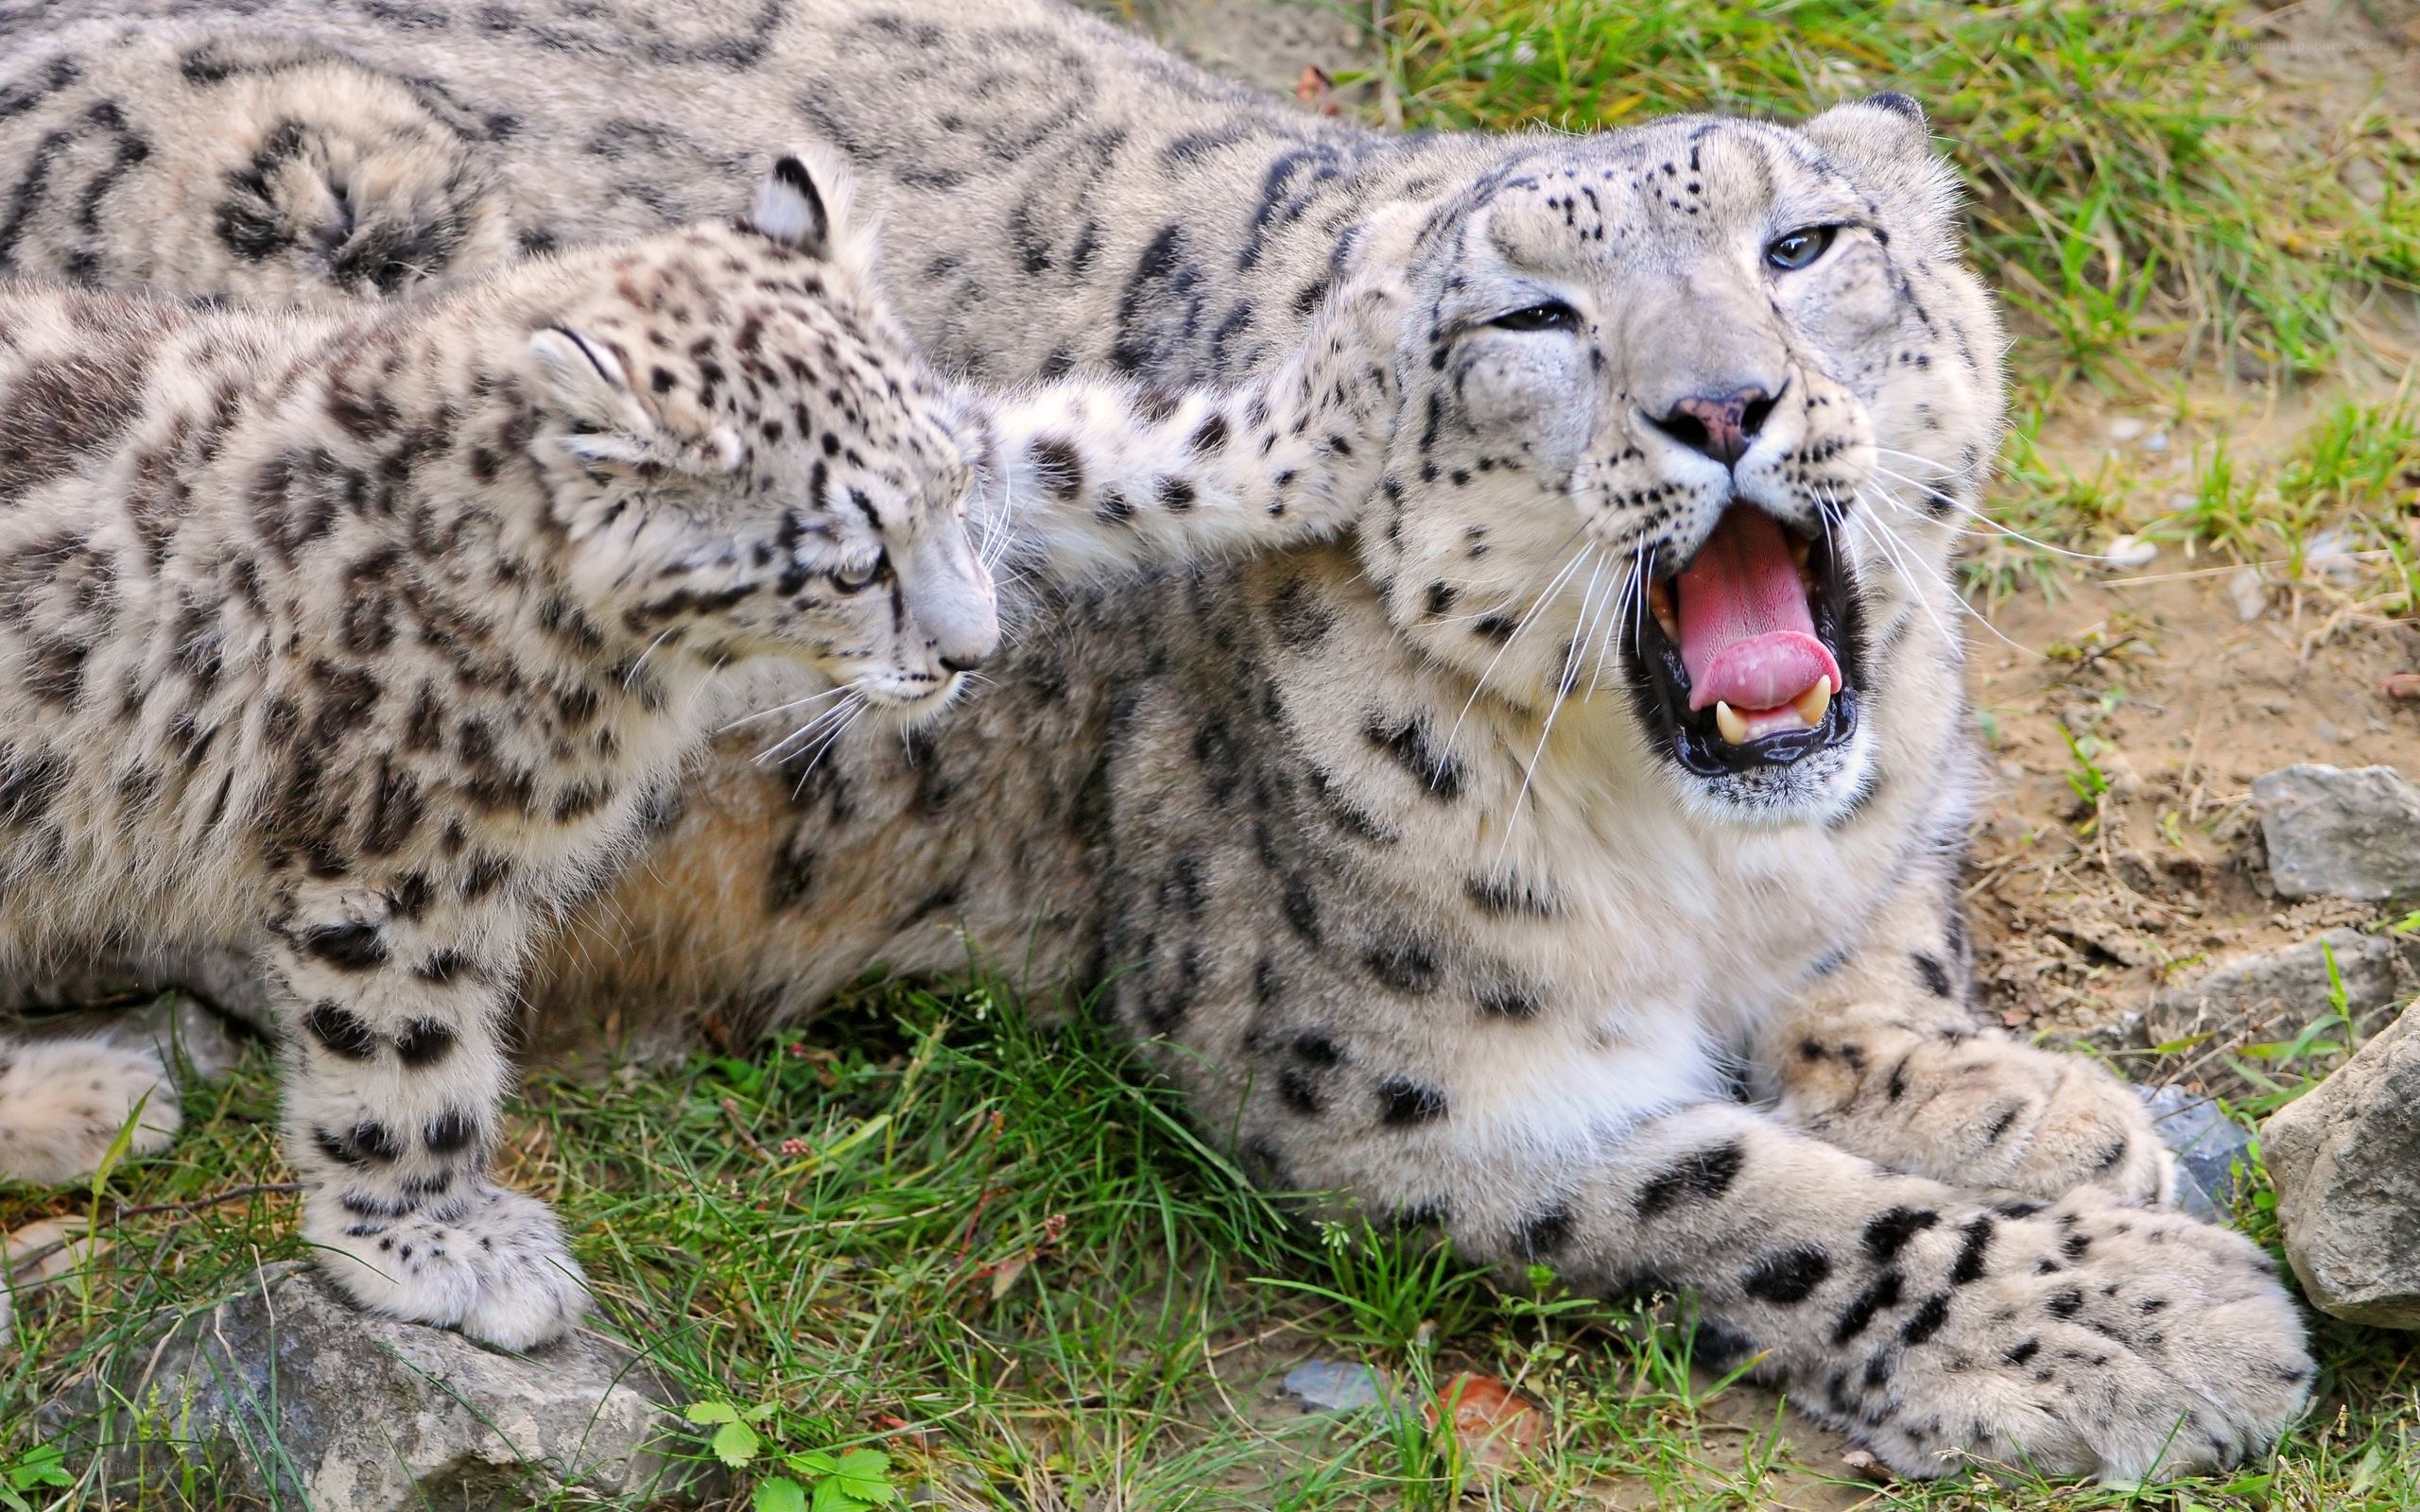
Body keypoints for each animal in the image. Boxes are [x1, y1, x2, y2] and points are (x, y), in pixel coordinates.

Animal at [0, 144, 1409, 1345]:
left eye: (955, 487)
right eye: (849, 563)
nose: (972, 651)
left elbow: (1064, 448)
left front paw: (1345, 386)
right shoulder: (396, 859)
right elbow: (405, 1057)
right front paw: (442, 1247)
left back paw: (95, 1098)